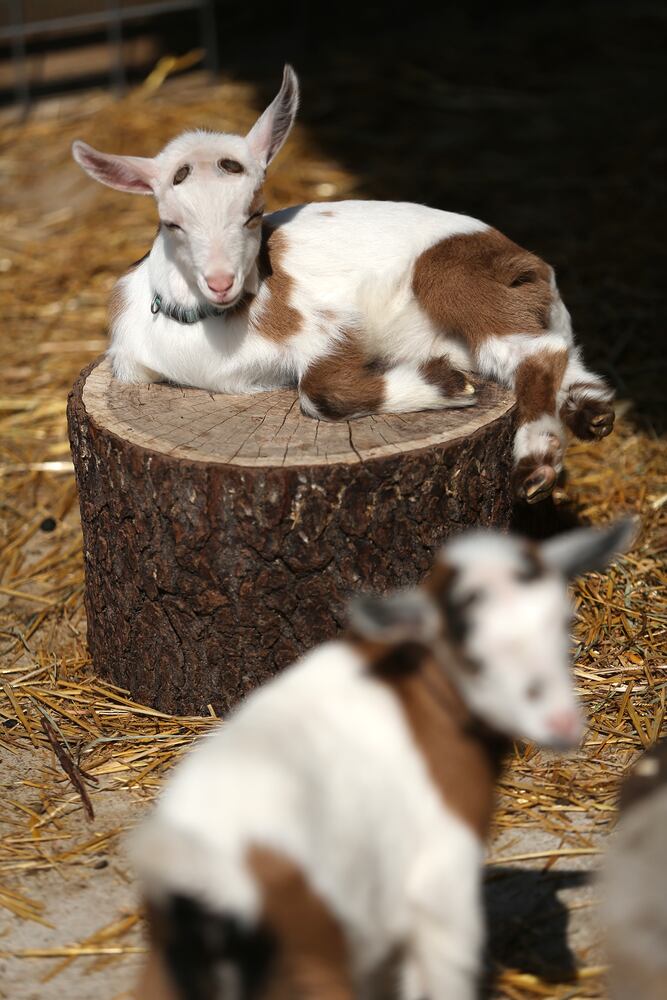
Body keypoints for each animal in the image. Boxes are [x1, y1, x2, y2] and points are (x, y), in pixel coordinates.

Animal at [73, 68, 616, 508]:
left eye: (253, 213)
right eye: (172, 223)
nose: (222, 282)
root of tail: (532, 263)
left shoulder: (329, 322)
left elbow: (319, 392)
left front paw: (447, 385)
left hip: (452, 277)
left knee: (539, 350)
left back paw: (535, 462)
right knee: (554, 354)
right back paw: (591, 415)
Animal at [132, 520, 636, 996]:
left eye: (564, 624)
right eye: (471, 652)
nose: (561, 723)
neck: (419, 691)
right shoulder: (442, 883)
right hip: (311, 966)